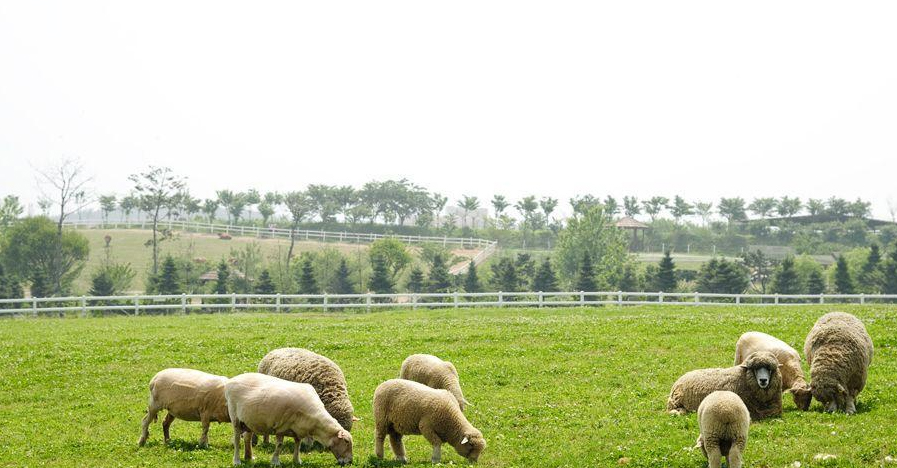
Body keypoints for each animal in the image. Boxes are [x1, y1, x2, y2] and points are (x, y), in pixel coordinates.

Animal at [224, 372, 354, 466]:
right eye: (346, 442)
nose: (350, 462)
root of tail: (231, 381)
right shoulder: (282, 426)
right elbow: (279, 445)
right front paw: (275, 462)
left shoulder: (298, 429)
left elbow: (298, 444)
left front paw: (297, 461)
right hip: (235, 418)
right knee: (237, 440)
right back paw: (237, 461)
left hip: (248, 422)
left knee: (247, 437)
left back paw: (249, 457)